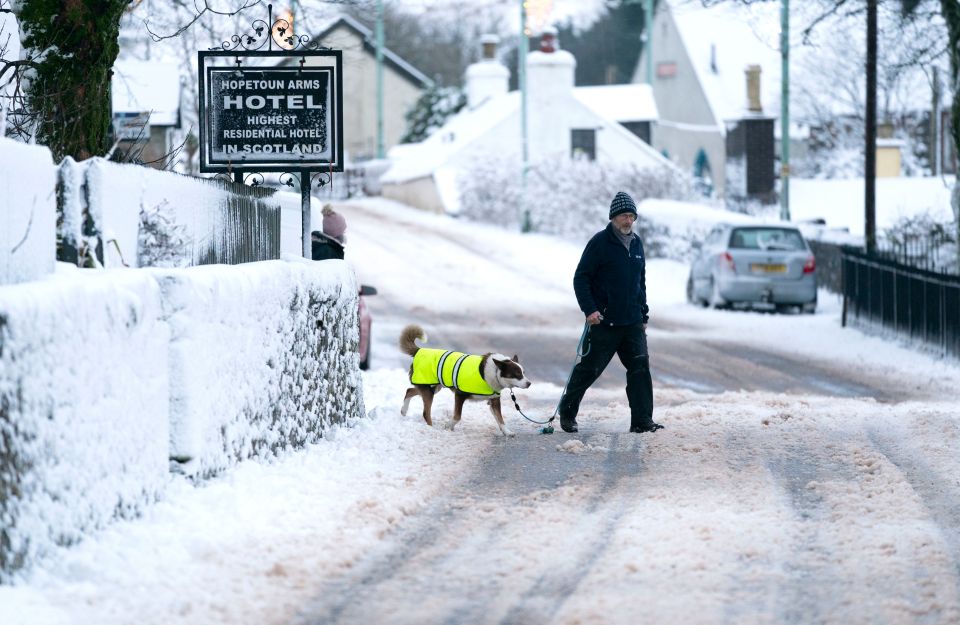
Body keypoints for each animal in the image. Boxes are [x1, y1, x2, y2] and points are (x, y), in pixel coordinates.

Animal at [400, 324, 532, 436]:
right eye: (517, 374)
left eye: (524, 373)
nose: (529, 383)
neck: (494, 372)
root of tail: (419, 350)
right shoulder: (460, 395)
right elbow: (457, 416)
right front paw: (448, 425)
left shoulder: (494, 400)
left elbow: (500, 419)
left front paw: (507, 432)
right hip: (429, 389)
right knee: (425, 412)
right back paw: (431, 428)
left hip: (433, 387)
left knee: (409, 390)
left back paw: (404, 411)